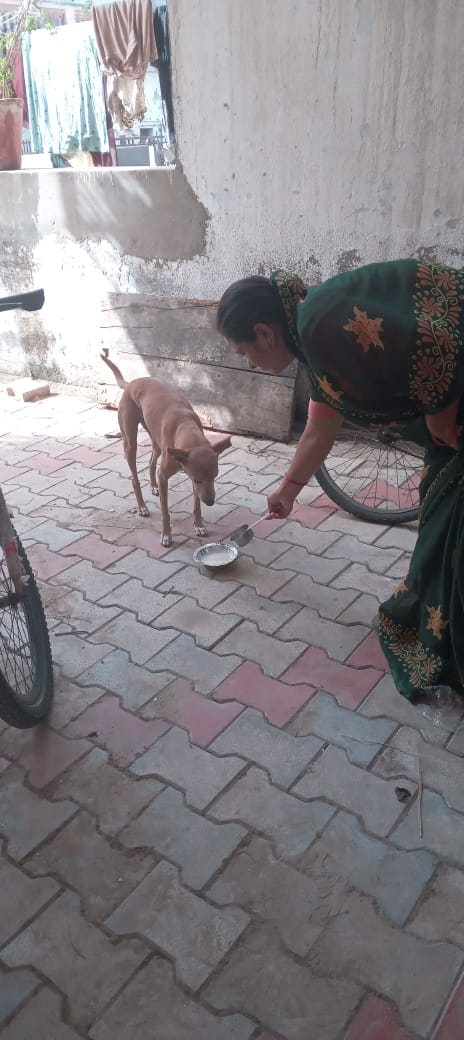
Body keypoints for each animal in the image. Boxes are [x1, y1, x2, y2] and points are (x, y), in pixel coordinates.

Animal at [100, 350, 225, 546]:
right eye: (198, 480)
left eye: (215, 477)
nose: (211, 502)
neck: (184, 424)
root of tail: (131, 383)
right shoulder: (168, 476)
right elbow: (165, 512)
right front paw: (166, 535)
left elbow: (196, 505)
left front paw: (199, 525)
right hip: (130, 443)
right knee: (135, 478)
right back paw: (142, 507)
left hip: (156, 441)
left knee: (152, 462)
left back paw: (153, 486)